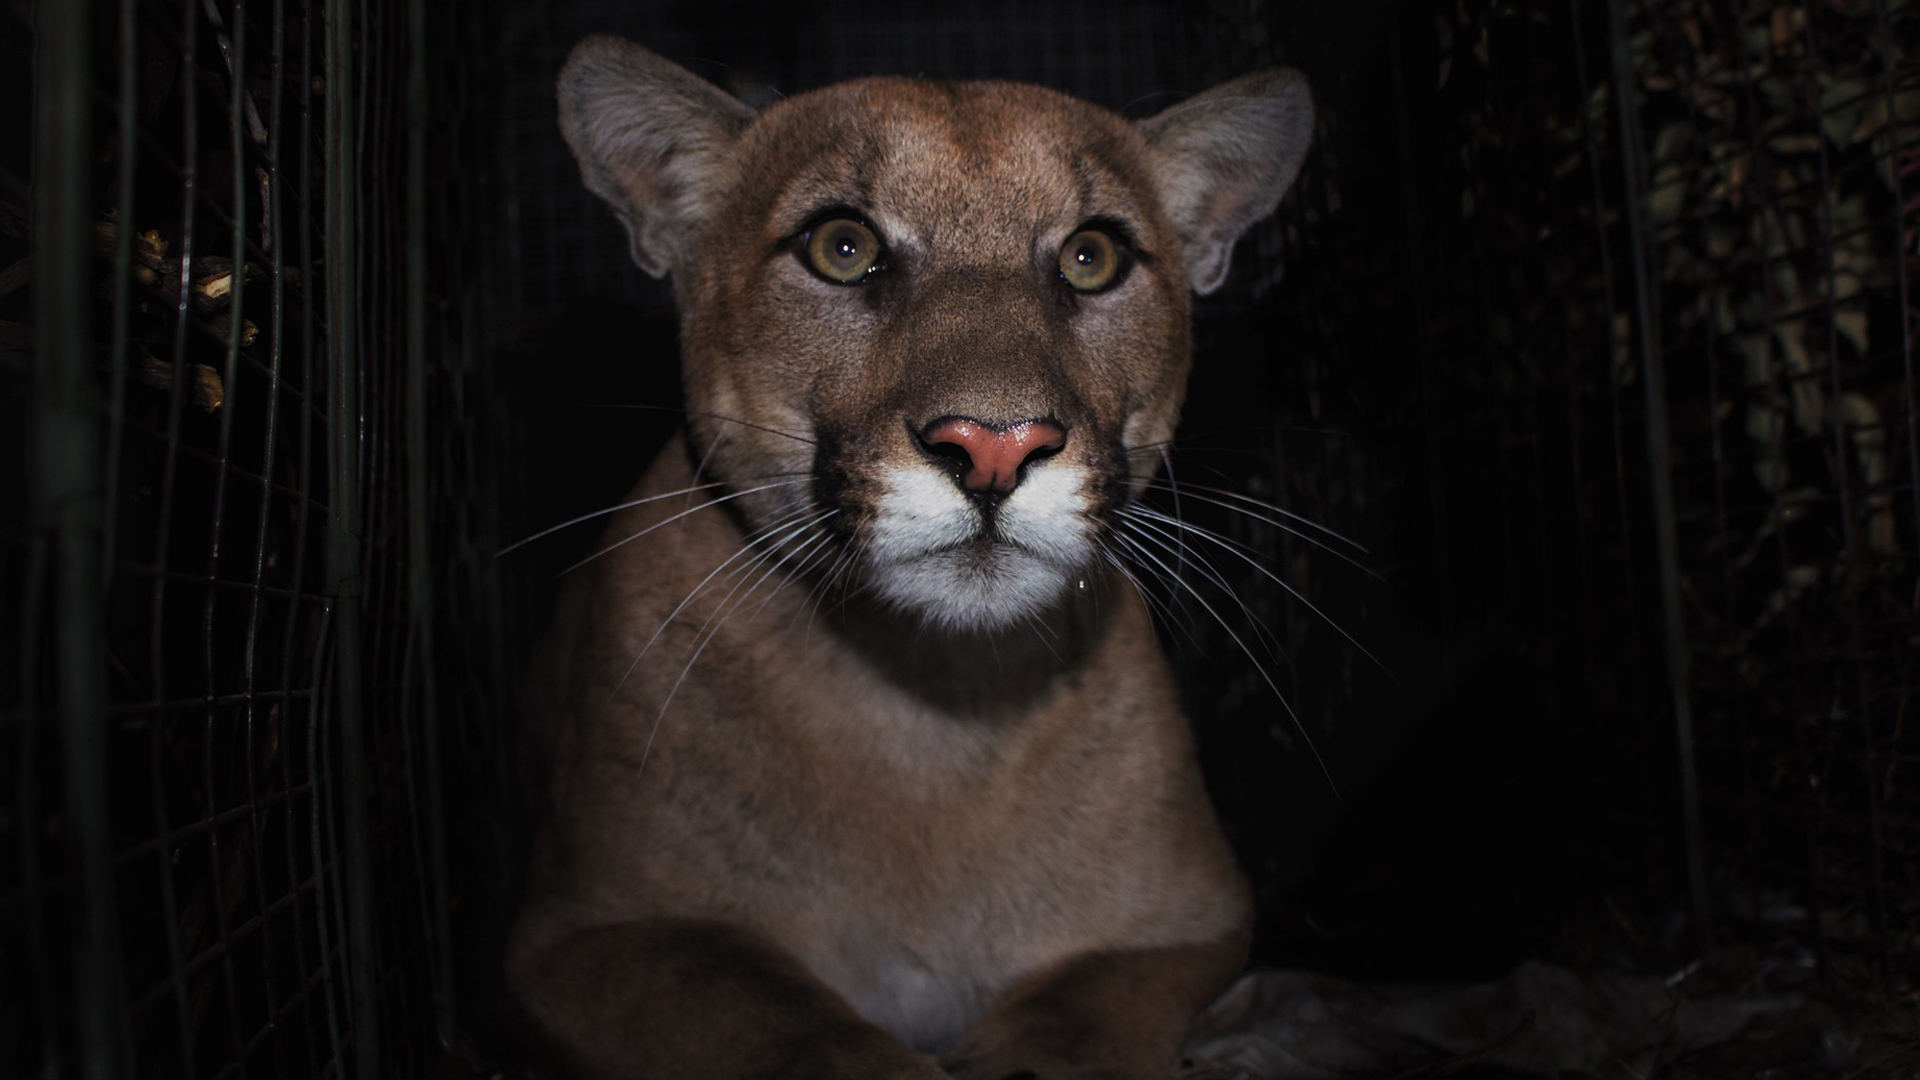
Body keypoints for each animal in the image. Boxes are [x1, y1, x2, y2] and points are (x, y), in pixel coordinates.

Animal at [506, 37, 1320, 1076]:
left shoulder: (1185, 924)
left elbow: (1081, 1019)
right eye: (842, 247)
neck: (933, 701)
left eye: (1091, 257)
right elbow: (777, 1017)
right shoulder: (588, 933)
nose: (996, 447)